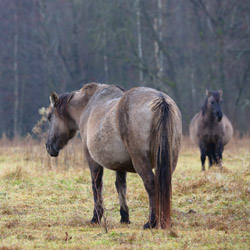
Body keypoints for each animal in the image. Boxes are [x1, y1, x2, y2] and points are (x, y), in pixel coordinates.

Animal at [45, 83, 182, 229]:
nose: (48, 146)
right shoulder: (120, 165)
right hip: (168, 161)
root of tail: (161, 99)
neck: (87, 107)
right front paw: (124, 217)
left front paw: (96, 217)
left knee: (151, 184)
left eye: (49, 117)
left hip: (140, 161)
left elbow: (96, 186)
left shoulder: (93, 161)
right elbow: (120, 186)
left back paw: (151, 222)